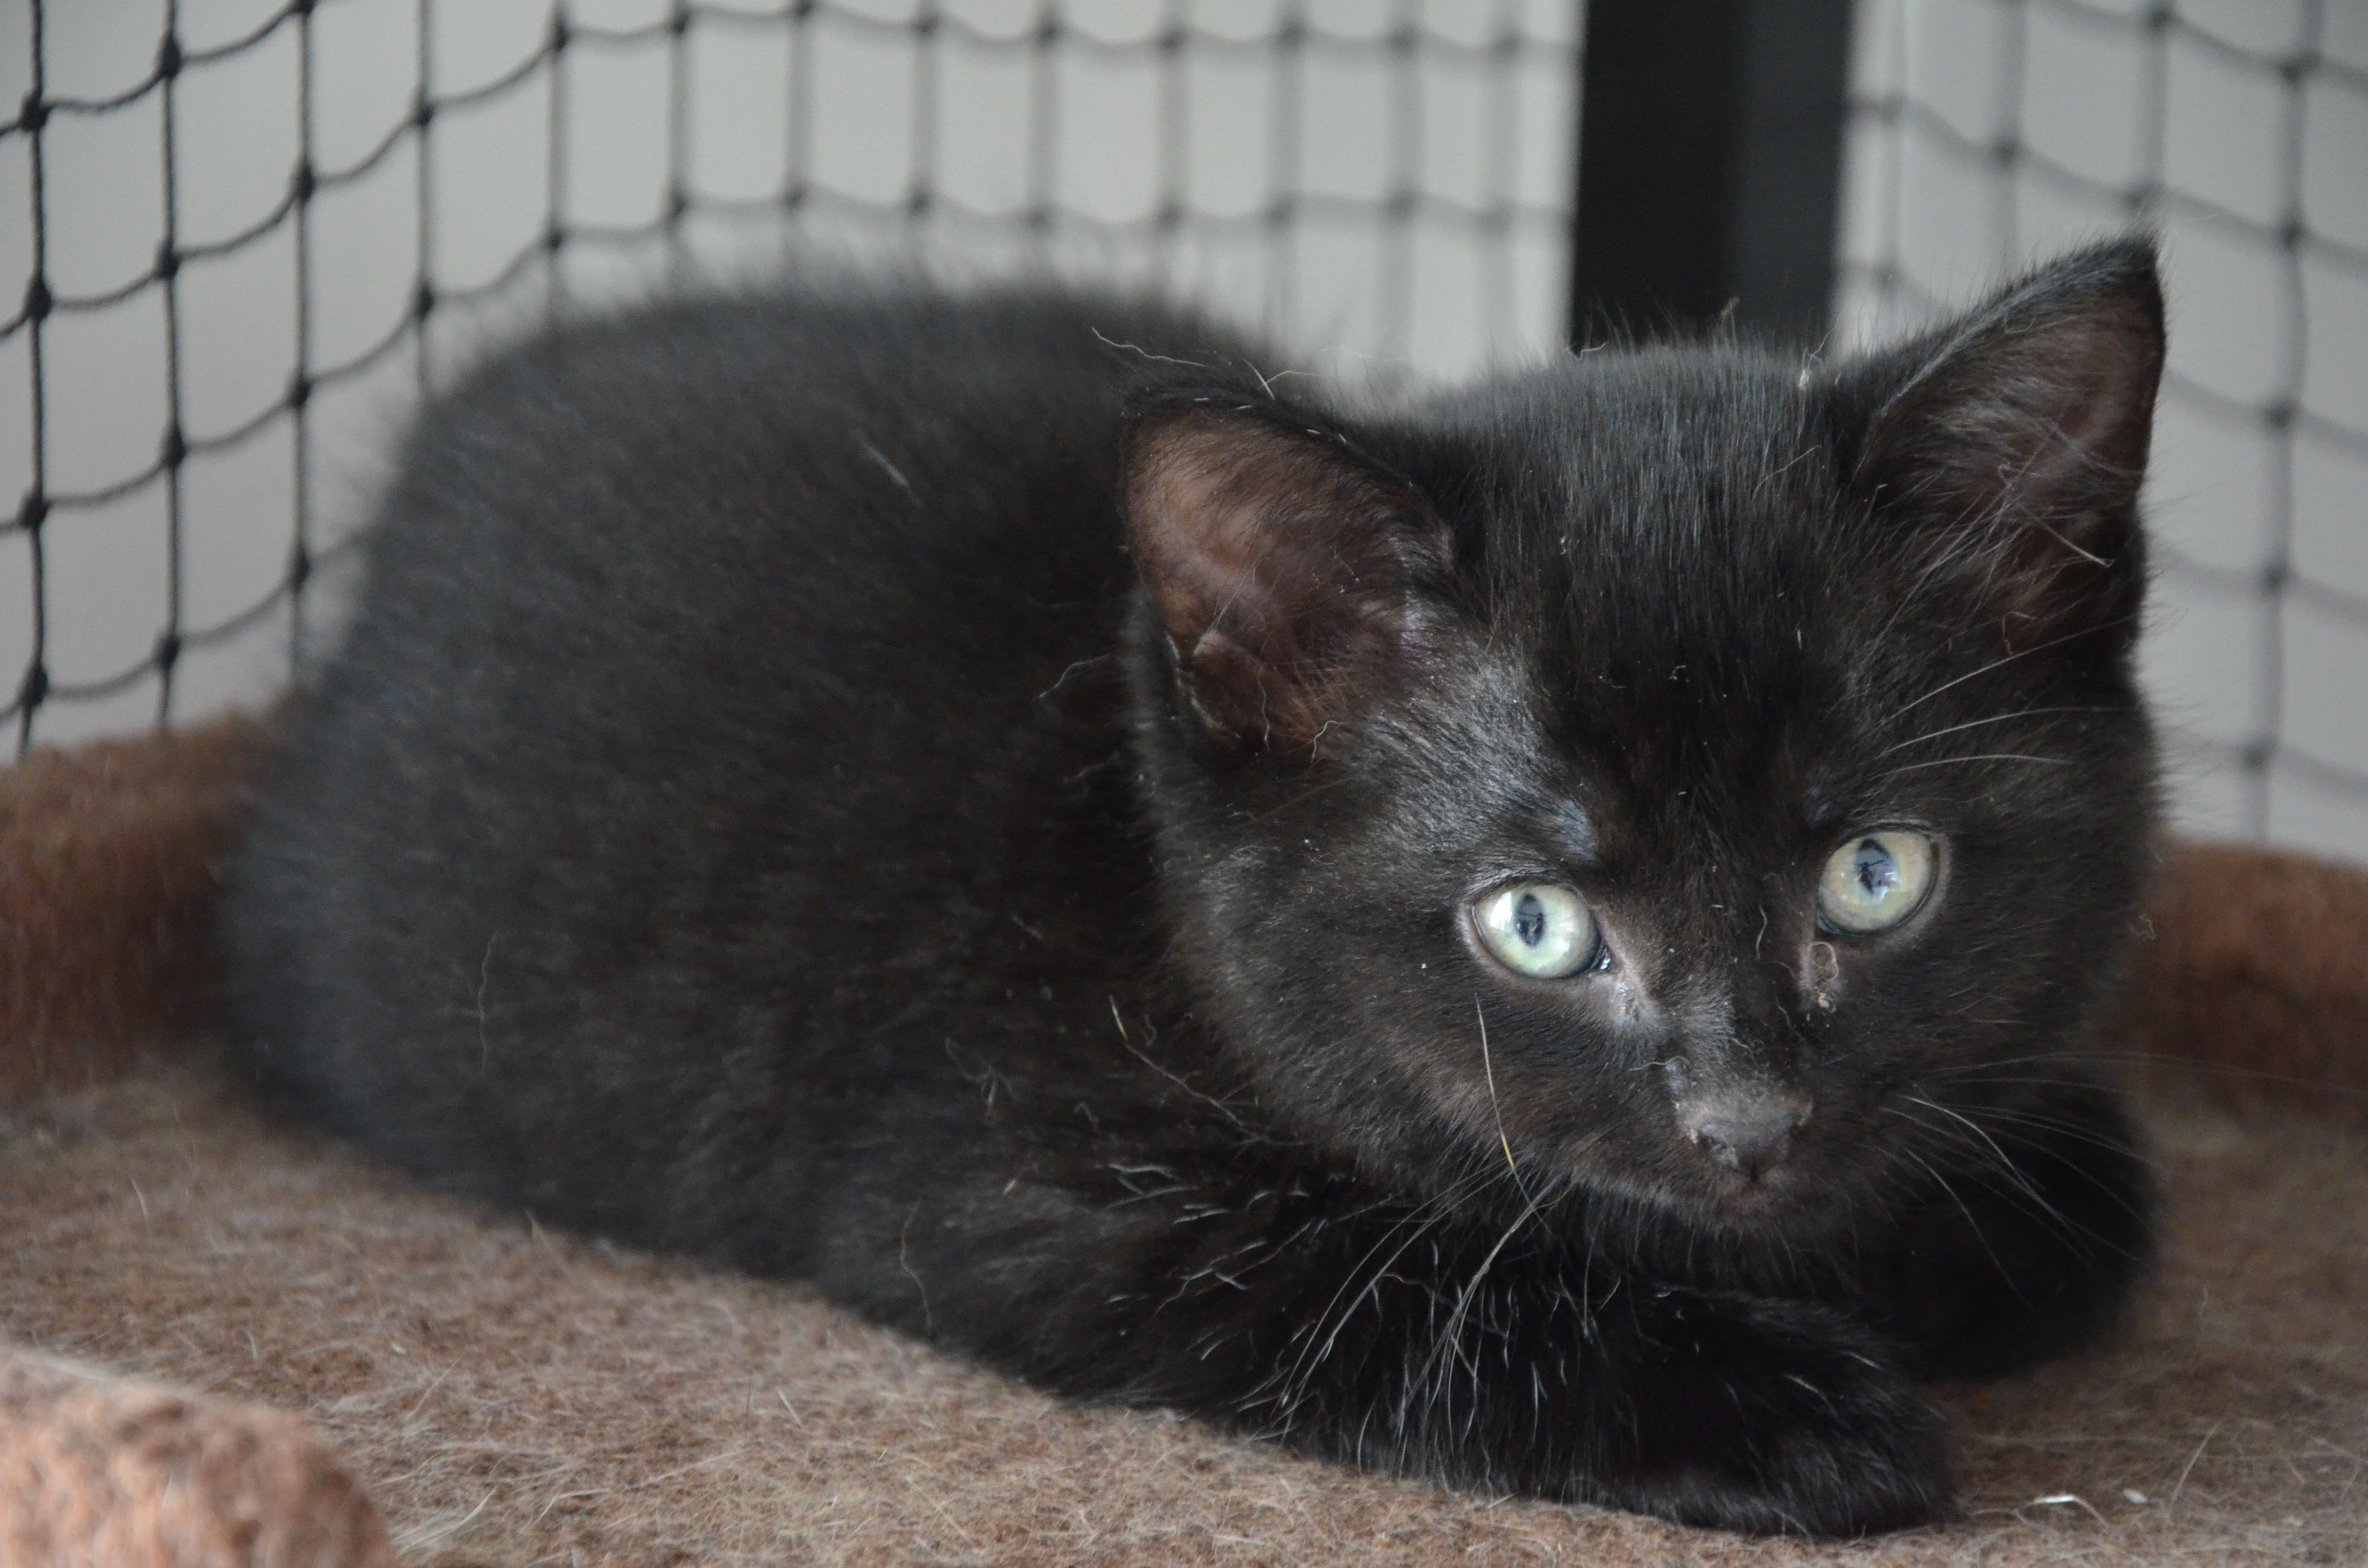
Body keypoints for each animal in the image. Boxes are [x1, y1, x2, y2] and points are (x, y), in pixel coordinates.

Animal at [220, 238, 2166, 1537]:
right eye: (1537, 924)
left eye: (1873, 875)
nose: (1749, 1122)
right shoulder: (1027, 1187)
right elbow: (1402, 1282)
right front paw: (1797, 1406)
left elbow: (2095, 1197)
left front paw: (1931, 1241)